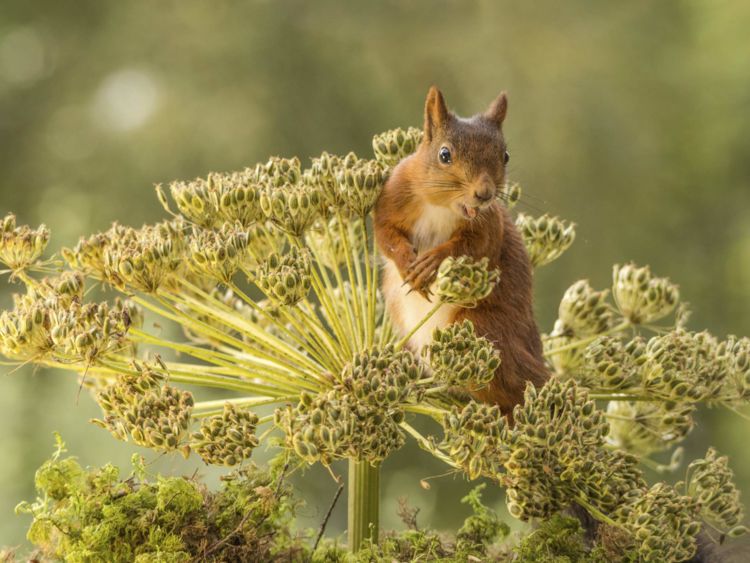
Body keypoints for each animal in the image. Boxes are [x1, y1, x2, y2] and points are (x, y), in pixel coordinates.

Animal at [374, 86, 549, 417]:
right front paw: (407, 262)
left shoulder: (489, 226)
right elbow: (385, 235)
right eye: (444, 155)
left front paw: (432, 261)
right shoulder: (393, 196)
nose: (484, 194)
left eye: (505, 156)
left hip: (479, 329)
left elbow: (473, 248)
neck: (442, 206)